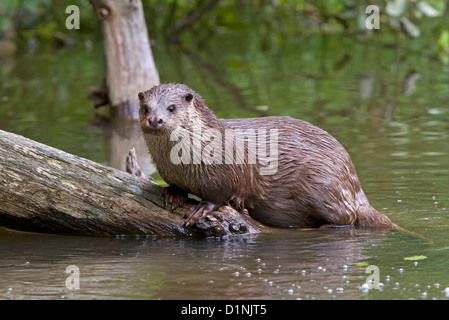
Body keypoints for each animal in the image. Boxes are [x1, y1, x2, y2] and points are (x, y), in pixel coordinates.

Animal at [138, 84, 398, 229]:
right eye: (145, 108)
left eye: (171, 108)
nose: (155, 119)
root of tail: (354, 181)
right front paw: (174, 194)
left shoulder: (227, 171)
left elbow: (221, 195)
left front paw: (200, 209)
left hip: (324, 181)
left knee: (346, 218)